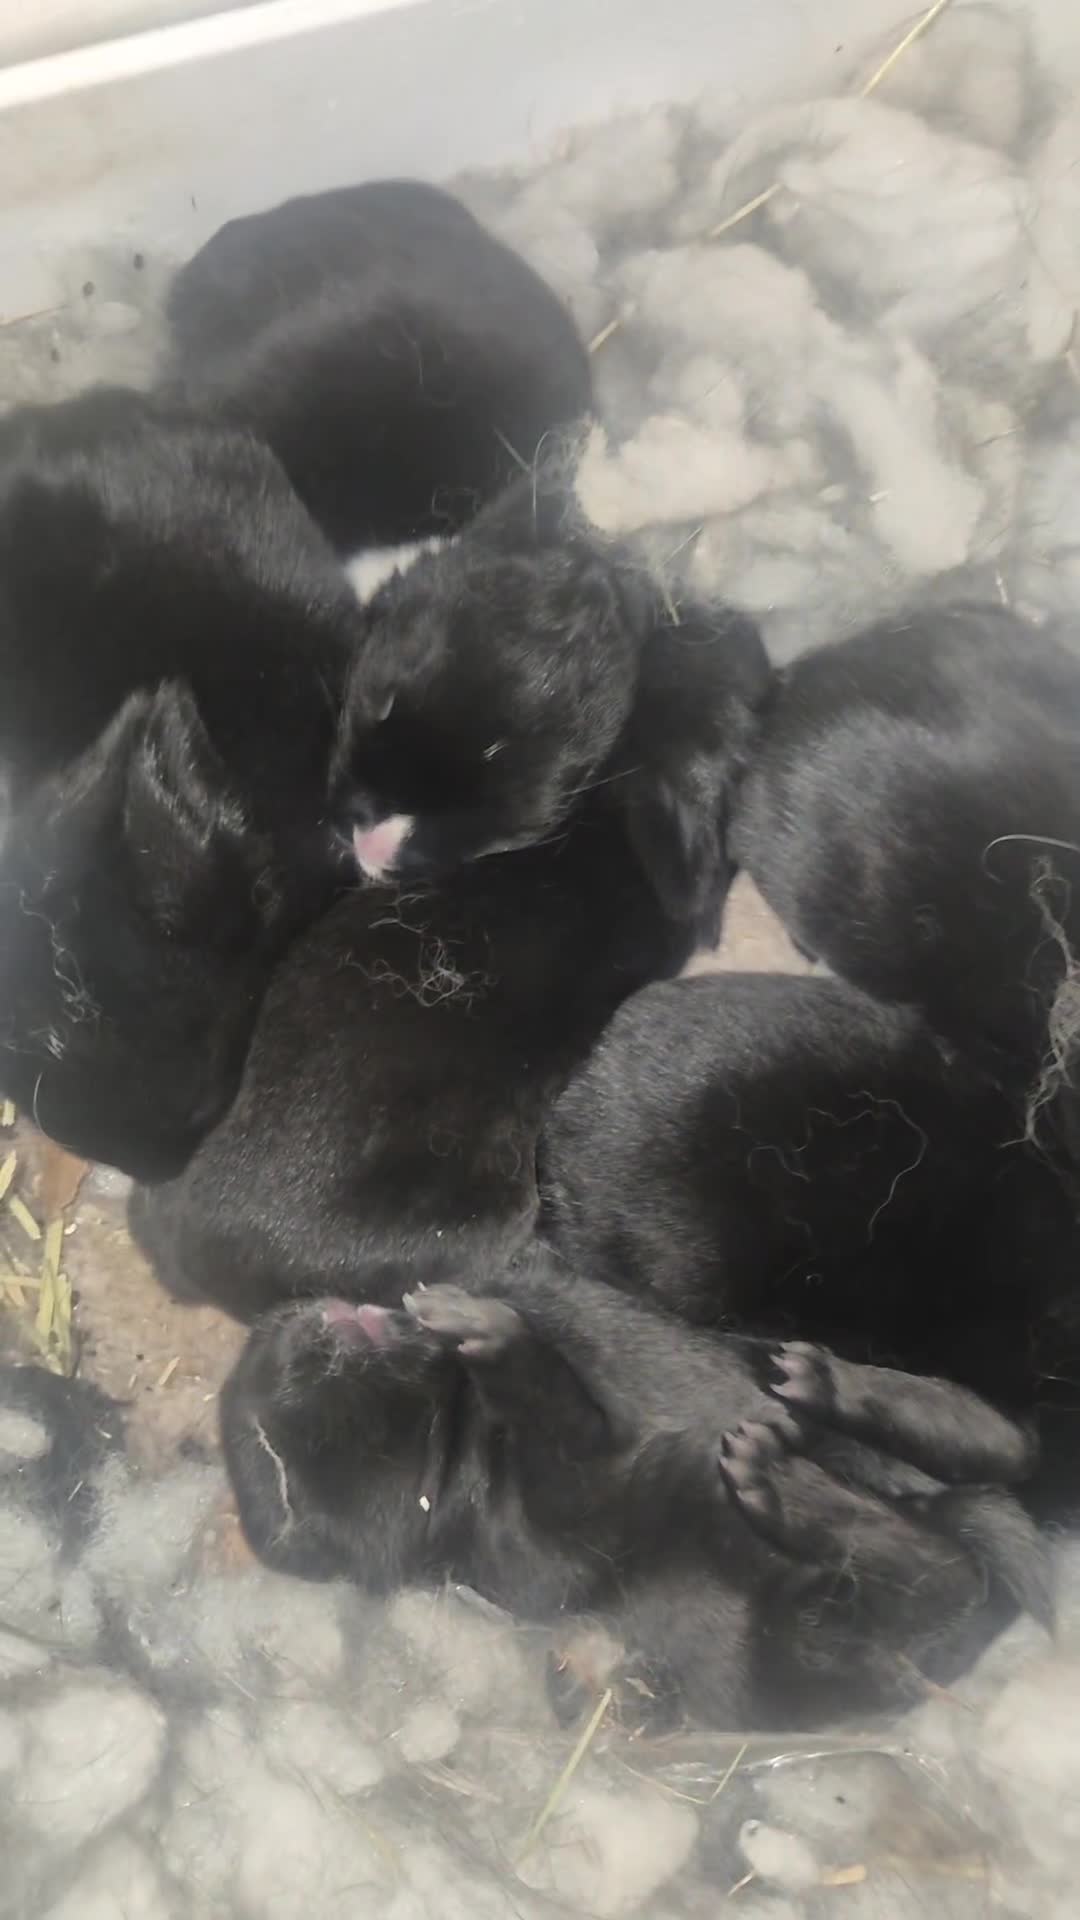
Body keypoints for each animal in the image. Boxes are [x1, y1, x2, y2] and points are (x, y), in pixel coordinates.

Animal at [220, 1248, 1049, 1733]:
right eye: (302, 1454)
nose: (313, 1337)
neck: (460, 1443)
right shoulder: (563, 1503)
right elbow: (562, 1414)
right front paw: (484, 1328)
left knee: (999, 1445)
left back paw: (826, 1385)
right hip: (814, 1636)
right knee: (939, 1569)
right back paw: (774, 1480)